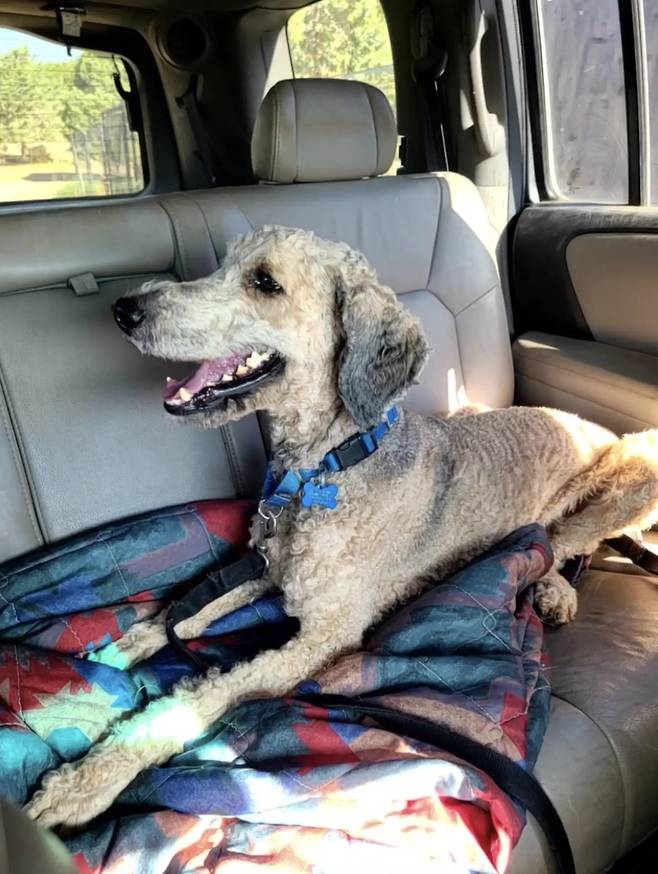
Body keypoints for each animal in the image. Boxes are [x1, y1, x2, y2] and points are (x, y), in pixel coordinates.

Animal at [25, 226, 658, 828]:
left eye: (265, 282)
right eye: (221, 264)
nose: (125, 308)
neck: (324, 467)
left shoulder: (327, 633)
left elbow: (209, 693)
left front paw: (88, 781)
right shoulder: (267, 567)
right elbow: (178, 614)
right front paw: (102, 667)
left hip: (636, 466)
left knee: (563, 540)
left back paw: (553, 587)